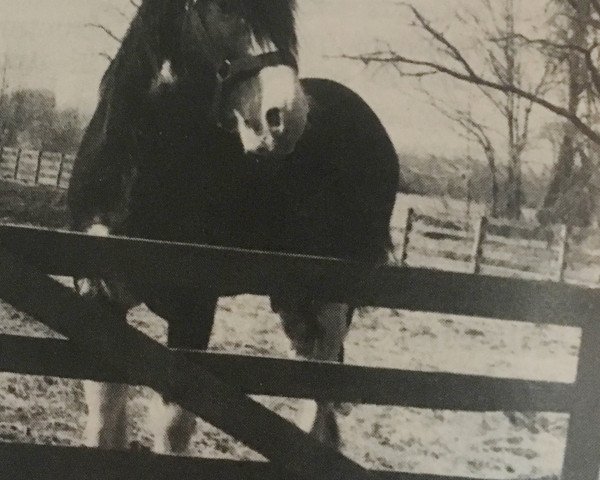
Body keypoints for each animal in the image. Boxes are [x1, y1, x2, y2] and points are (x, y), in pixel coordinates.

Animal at [68, 0, 400, 454]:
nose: (286, 119)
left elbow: (173, 426)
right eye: (221, 10)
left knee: (321, 388)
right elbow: (105, 415)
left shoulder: (194, 308)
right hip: (293, 299)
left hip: (333, 299)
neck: (132, 177)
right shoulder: (97, 296)